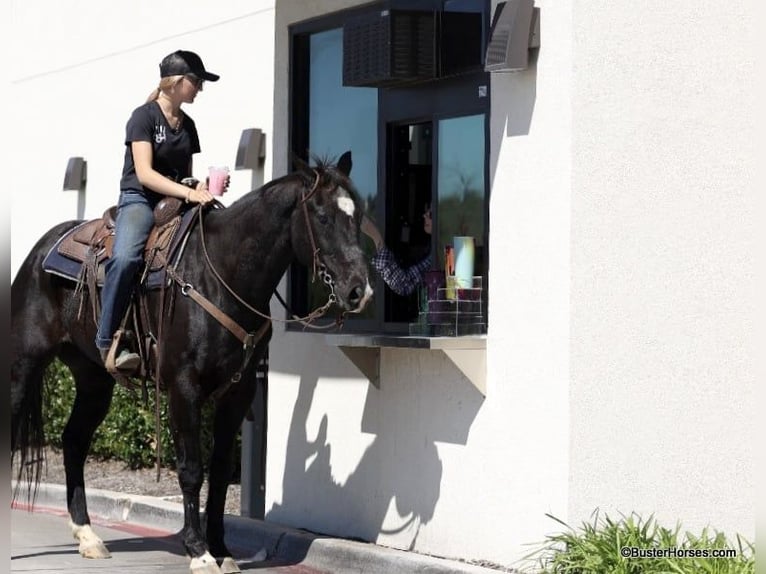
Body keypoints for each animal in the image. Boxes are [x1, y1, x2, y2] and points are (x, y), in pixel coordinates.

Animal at [11, 154, 372, 574]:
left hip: (94, 379)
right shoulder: (184, 388)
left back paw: (88, 535)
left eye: (358, 214)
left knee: (73, 440)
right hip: (24, 364)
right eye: (322, 216)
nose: (359, 291)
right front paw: (198, 550)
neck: (223, 273)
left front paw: (222, 549)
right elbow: (191, 470)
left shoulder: (239, 391)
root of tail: (41, 250)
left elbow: (219, 472)